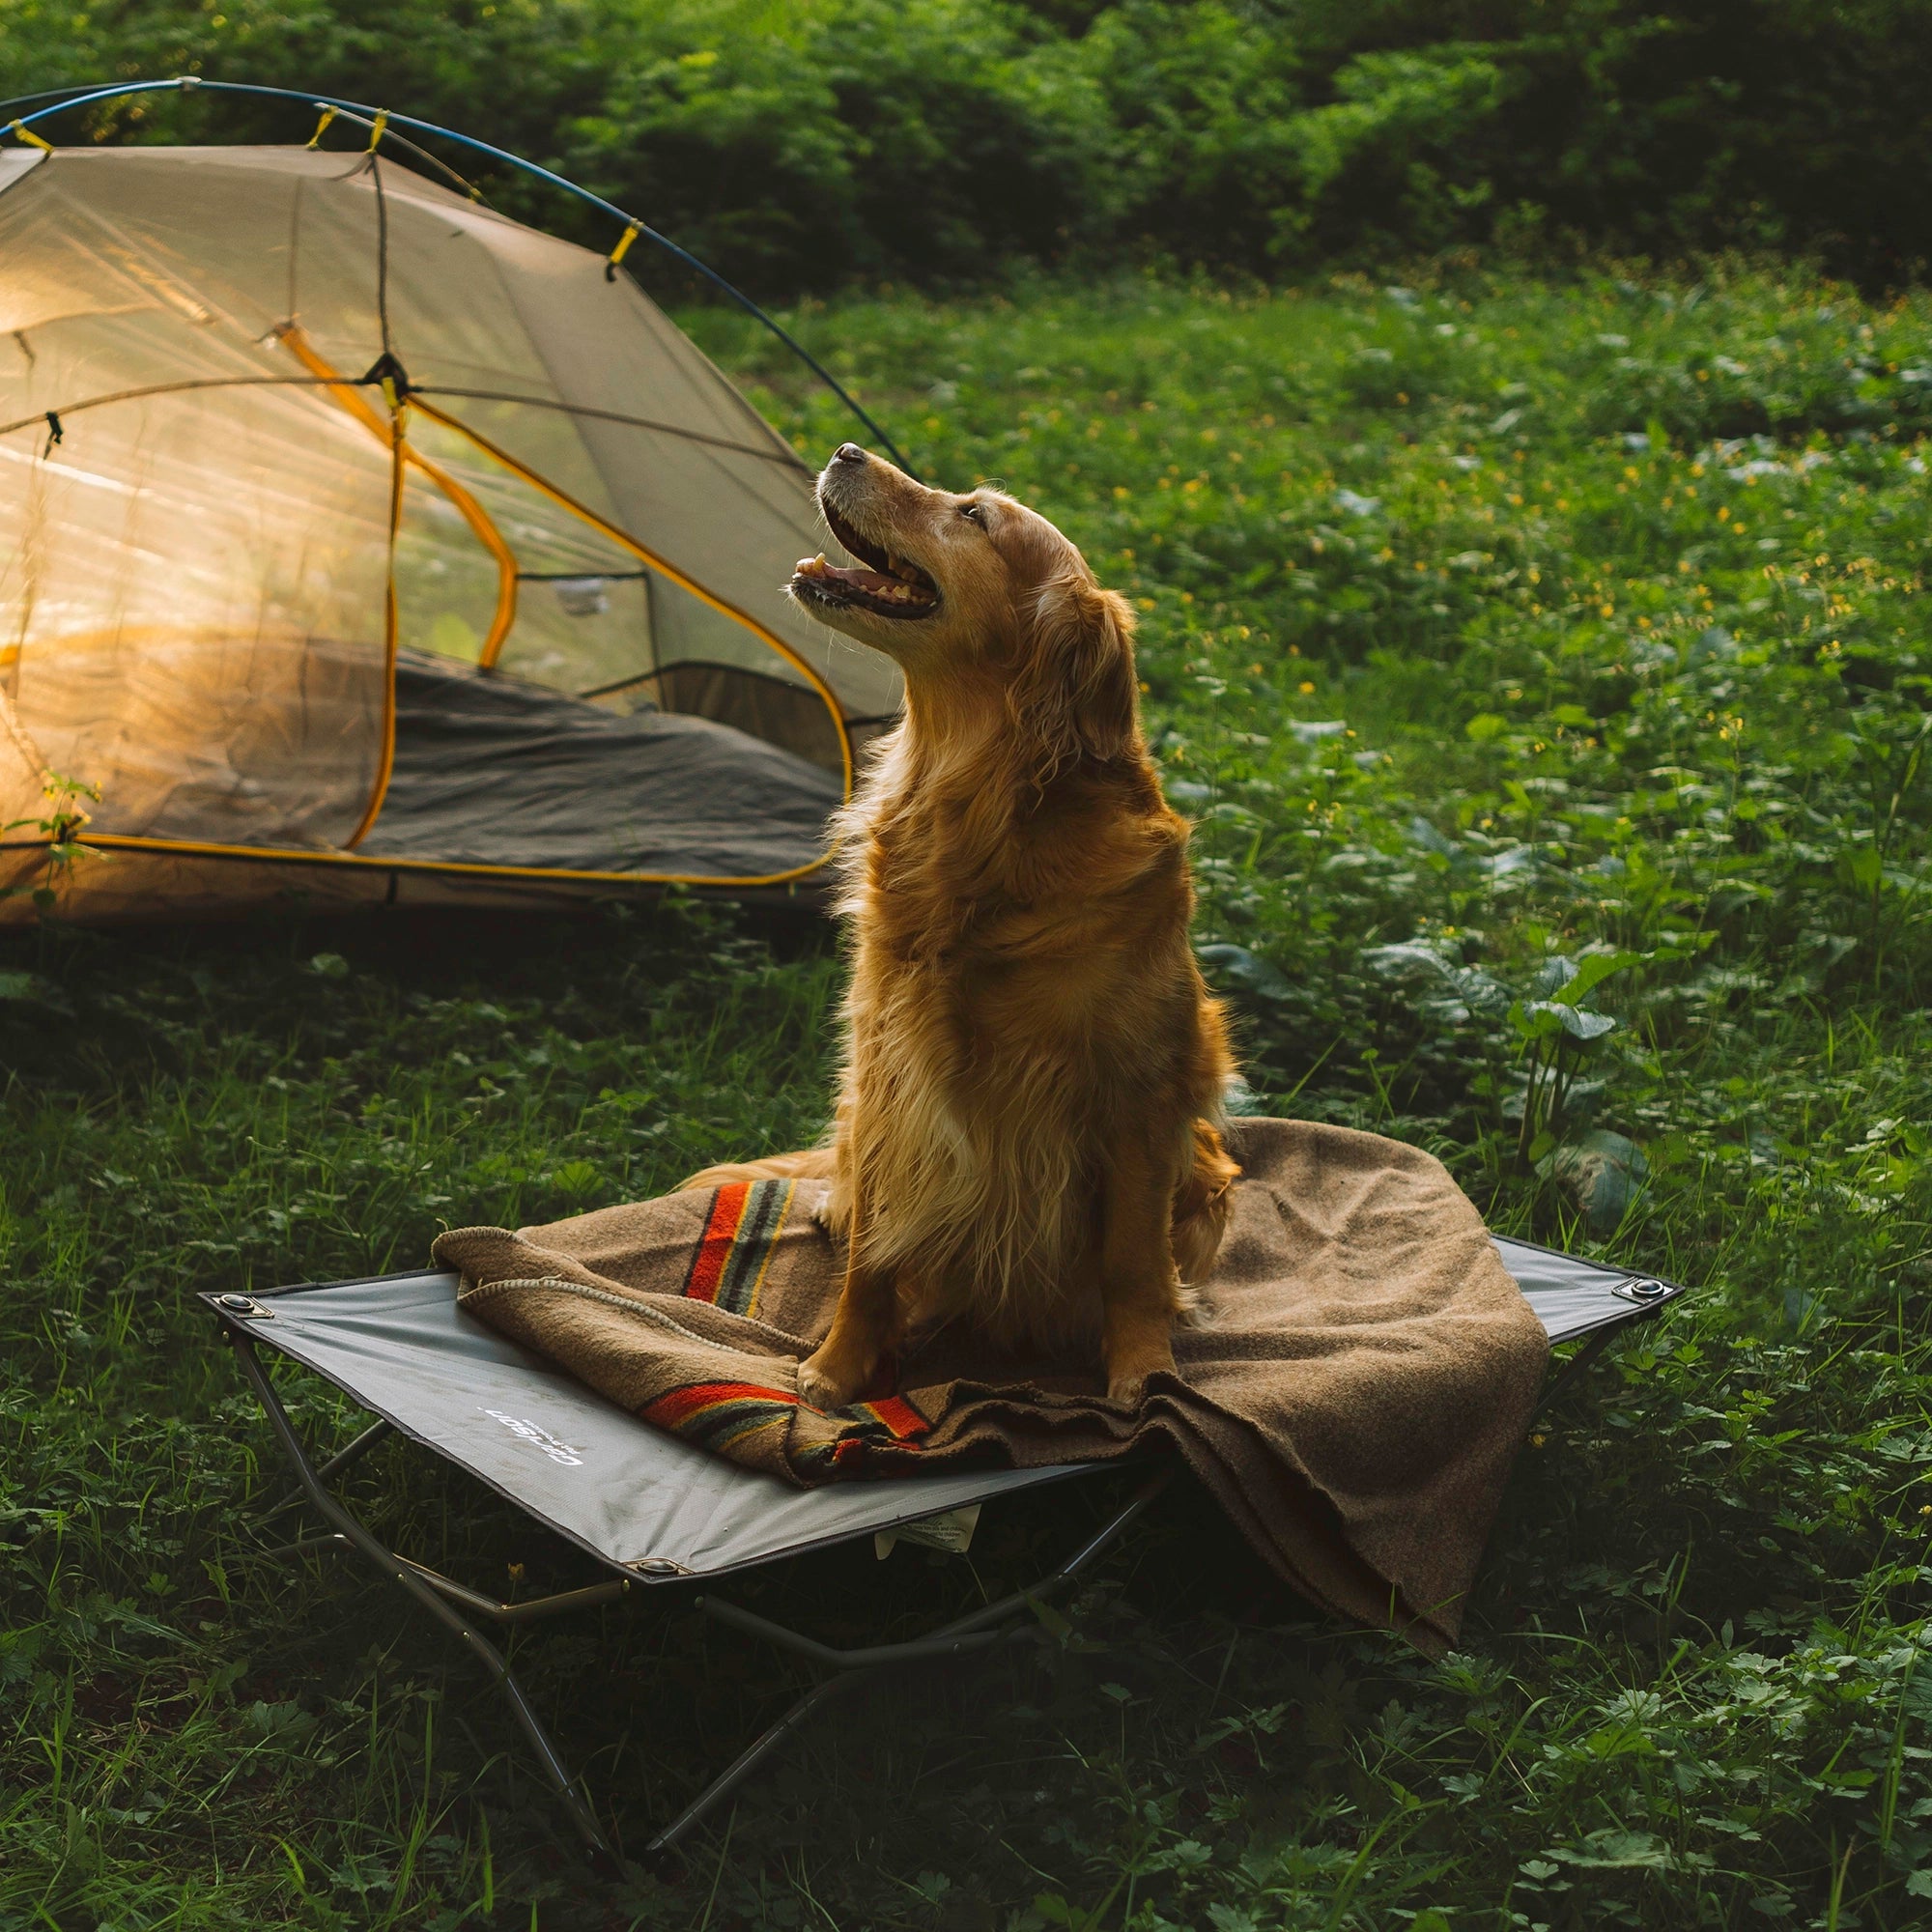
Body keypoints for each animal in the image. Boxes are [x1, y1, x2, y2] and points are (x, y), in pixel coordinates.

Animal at [688, 442, 1244, 1406]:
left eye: (974, 516)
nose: (844, 450)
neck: (981, 810)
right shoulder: (890, 1071)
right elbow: (873, 1262)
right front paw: (837, 1368)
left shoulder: (1137, 1099)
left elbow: (1134, 1266)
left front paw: (1145, 1376)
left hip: (1206, 1179)